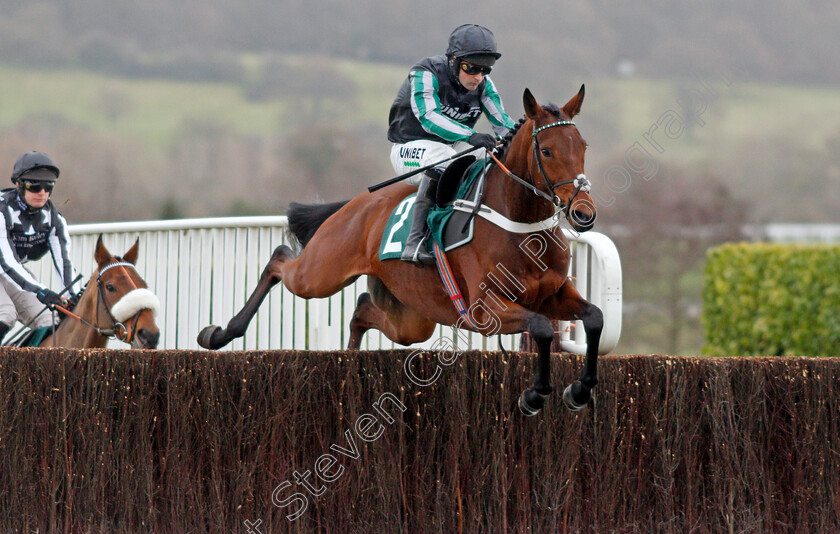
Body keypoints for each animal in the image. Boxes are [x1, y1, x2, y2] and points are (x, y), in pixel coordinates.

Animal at [200, 88, 600, 416]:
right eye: (546, 150)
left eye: (583, 146)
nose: (583, 213)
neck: (520, 225)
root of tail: (357, 202)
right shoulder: (484, 309)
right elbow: (542, 328)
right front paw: (535, 395)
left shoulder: (552, 294)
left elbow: (593, 317)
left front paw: (580, 390)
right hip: (320, 272)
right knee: (280, 259)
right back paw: (219, 334)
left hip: (412, 316)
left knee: (363, 309)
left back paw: (349, 354)